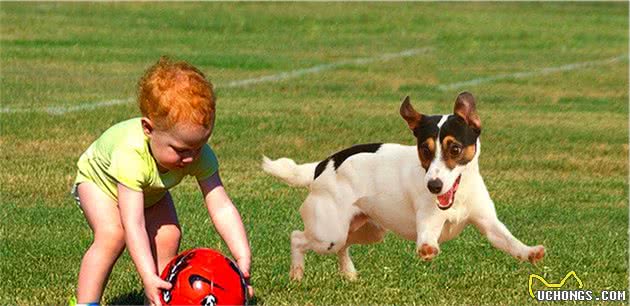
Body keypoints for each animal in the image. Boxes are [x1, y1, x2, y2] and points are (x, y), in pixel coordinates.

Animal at [262, 92, 548, 280]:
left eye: (455, 149)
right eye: (424, 150)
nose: (434, 186)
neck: (458, 194)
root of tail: (320, 166)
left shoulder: (489, 224)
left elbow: (510, 242)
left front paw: (530, 252)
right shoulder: (428, 222)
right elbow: (427, 240)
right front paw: (428, 250)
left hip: (365, 230)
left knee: (344, 245)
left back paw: (349, 274)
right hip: (328, 233)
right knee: (297, 237)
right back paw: (297, 275)